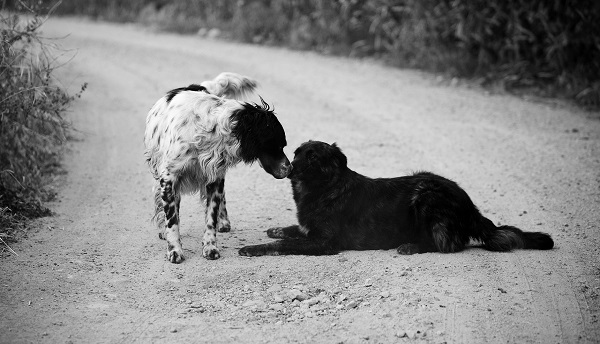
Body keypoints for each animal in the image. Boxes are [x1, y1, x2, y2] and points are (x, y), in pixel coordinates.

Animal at [146, 71, 294, 262]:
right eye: (278, 145)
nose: (290, 168)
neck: (208, 129)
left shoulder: (215, 177)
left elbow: (211, 217)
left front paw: (210, 247)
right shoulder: (169, 179)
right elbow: (172, 220)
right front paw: (174, 249)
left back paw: (224, 222)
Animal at [238, 140, 552, 255]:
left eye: (313, 157)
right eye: (296, 153)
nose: (289, 168)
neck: (327, 187)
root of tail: (470, 205)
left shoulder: (323, 242)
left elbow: (283, 244)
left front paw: (254, 248)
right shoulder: (308, 231)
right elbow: (290, 230)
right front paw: (276, 229)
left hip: (426, 197)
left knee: (447, 245)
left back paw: (411, 246)